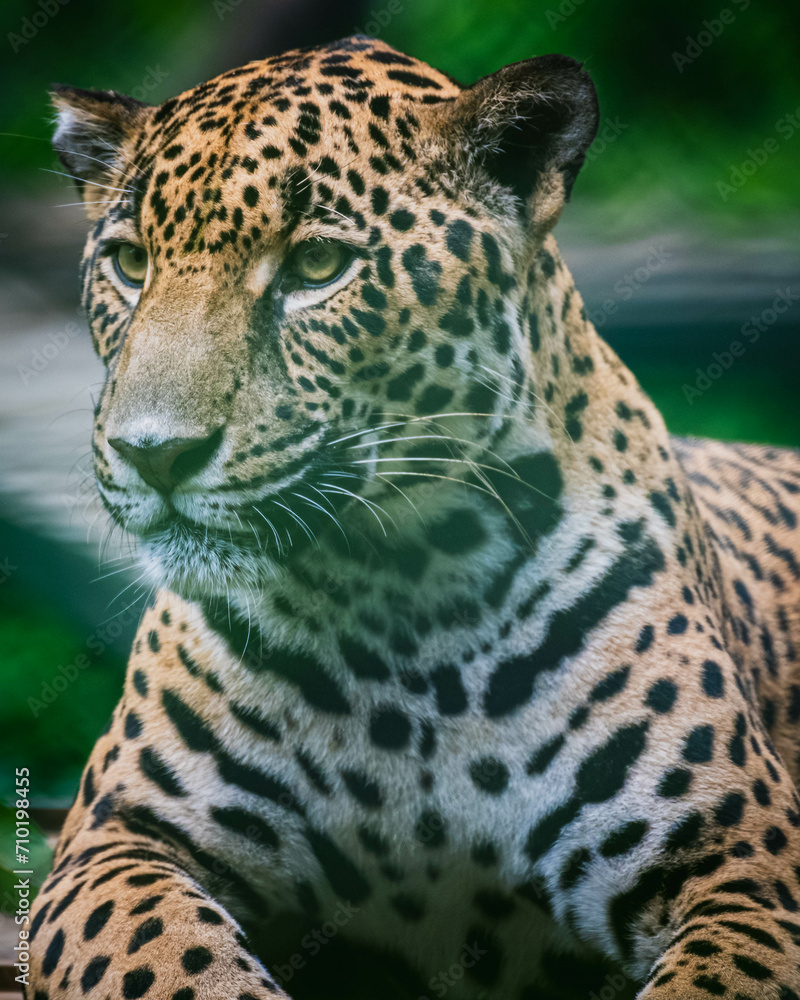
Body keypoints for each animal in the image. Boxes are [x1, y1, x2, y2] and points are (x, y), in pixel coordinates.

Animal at [26, 33, 800, 1000]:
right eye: (130, 264)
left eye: (318, 268)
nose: (153, 452)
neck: (399, 600)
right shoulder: (115, 840)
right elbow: (173, 963)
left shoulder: (744, 865)